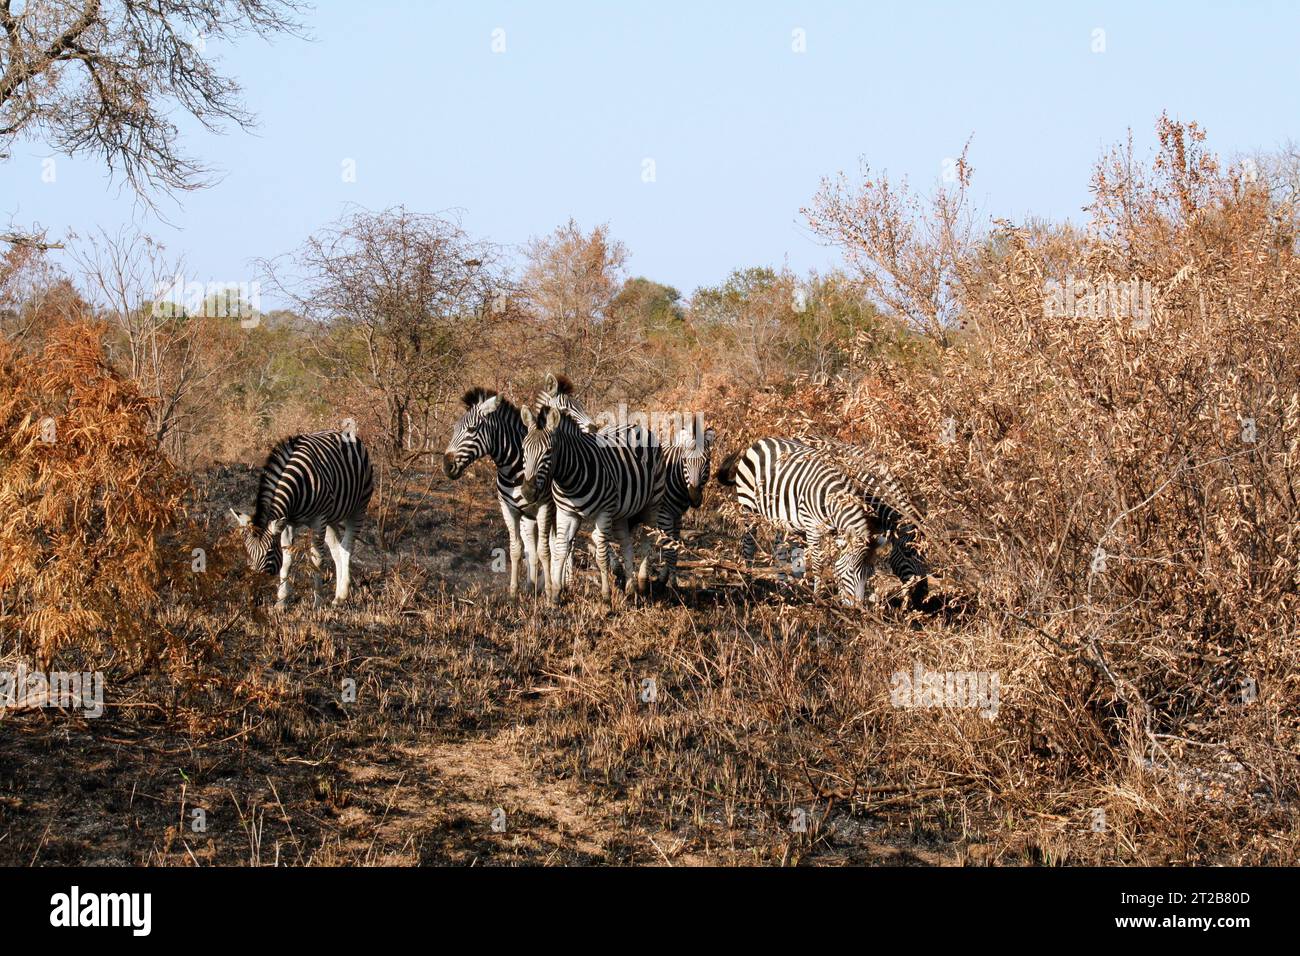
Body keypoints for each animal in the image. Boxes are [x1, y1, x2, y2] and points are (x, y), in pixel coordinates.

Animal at [231, 429, 374, 608]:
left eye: (269, 552)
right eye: (248, 553)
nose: (252, 597)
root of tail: (343, 433)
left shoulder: (318, 519)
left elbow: (316, 559)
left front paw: (318, 602)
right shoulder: (287, 522)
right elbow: (287, 559)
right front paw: (281, 602)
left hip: (359, 508)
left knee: (347, 547)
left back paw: (342, 595)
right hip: (331, 518)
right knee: (336, 550)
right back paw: (336, 597)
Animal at [444, 387, 556, 598]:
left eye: (471, 430)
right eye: (454, 429)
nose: (446, 466)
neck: (514, 469)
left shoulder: (544, 507)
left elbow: (545, 551)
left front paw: (549, 594)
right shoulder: (509, 509)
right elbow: (516, 549)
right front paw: (514, 592)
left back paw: (557, 585)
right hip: (528, 517)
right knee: (533, 549)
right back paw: (531, 586)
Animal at [517, 374, 665, 606]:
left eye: (549, 451)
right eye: (524, 449)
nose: (529, 492)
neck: (567, 476)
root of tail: (636, 426)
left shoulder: (602, 512)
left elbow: (599, 553)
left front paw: (604, 597)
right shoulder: (566, 512)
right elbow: (560, 548)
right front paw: (555, 592)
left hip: (653, 502)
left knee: (647, 542)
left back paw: (641, 583)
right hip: (623, 510)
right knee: (626, 543)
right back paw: (630, 587)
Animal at [660, 424, 722, 587]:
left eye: (707, 461)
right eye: (684, 460)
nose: (694, 496)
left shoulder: (677, 515)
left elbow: (674, 548)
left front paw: (669, 579)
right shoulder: (664, 514)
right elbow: (670, 549)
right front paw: (671, 586)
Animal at [712, 437, 883, 600]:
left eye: (870, 574)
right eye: (851, 571)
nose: (856, 607)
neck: (832, 498)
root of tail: (759, 442)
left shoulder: (835, 532)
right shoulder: (812, 527)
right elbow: (818, 564)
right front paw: (817, 598)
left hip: (782, 519)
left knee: (779, 550)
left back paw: (785, 592)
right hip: (749, 508)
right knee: (749, 546)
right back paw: (749, 588)